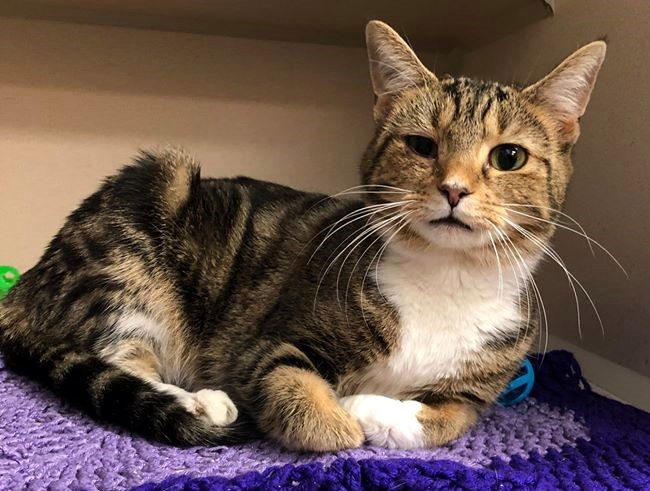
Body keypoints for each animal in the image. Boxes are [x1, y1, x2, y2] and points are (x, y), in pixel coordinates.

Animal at [0, 21, 606, 451]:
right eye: (421, 145)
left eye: (509, 157)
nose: (454, 188)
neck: (445, 279)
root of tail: (25, 286)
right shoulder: (267, 345)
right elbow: (297, 393)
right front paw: (345, 416)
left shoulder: (479, 390)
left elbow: (449, 421)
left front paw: (370, 409)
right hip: (147, 206)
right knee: (112, 353)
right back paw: (199, 403)